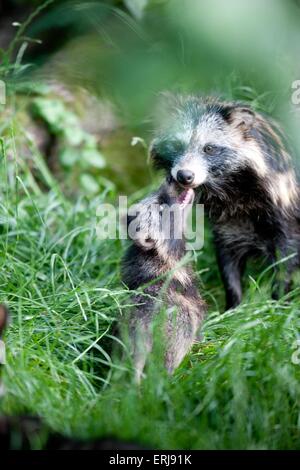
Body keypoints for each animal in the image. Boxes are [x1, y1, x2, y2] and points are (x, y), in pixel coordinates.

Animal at [150, 94, 300, 310]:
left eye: (209, 148)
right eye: (177, 145)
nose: (184, 176)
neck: (232, 189)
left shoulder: (284, 213)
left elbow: (284, 262)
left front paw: (278, 305)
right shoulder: (230, 223)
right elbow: (228, 262)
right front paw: (233, 307)